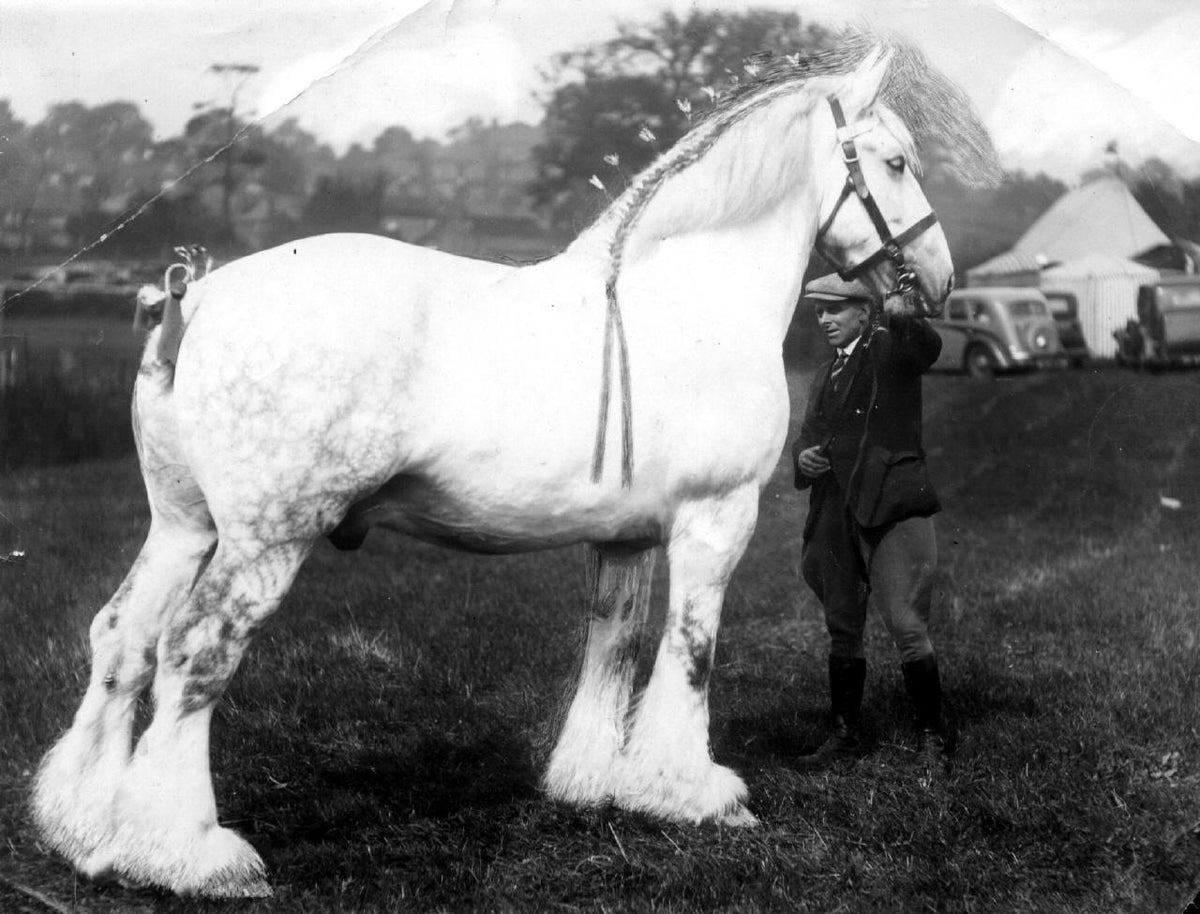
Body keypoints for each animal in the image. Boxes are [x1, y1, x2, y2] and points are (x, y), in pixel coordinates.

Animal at [32, 36, 998, 898]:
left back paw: (84, 826)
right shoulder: (715, 519)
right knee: (195, 652)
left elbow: (613, 644)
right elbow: (690, 650)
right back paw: (189, 855)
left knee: (122, 637)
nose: (940, 280)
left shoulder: (625, 538)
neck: (690, 296)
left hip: (183, 527)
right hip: (264, 541)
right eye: (895, 162)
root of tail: (192, 301)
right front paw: (696, 794)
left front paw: (597, 782)